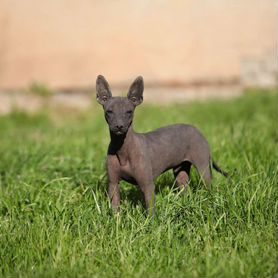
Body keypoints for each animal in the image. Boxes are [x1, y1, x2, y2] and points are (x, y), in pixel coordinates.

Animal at [96, 75, 228, 215]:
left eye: (129, 112)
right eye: (109, 112)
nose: (119, 126)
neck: (122, 149)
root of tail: (197, 130)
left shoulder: (147, 185)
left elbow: (150, 211)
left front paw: (150, 221)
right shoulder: (113, 184)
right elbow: (116, 210)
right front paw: (116, 220)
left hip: (203, 168)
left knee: (208, 186)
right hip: (180, 171)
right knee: (185, 188)